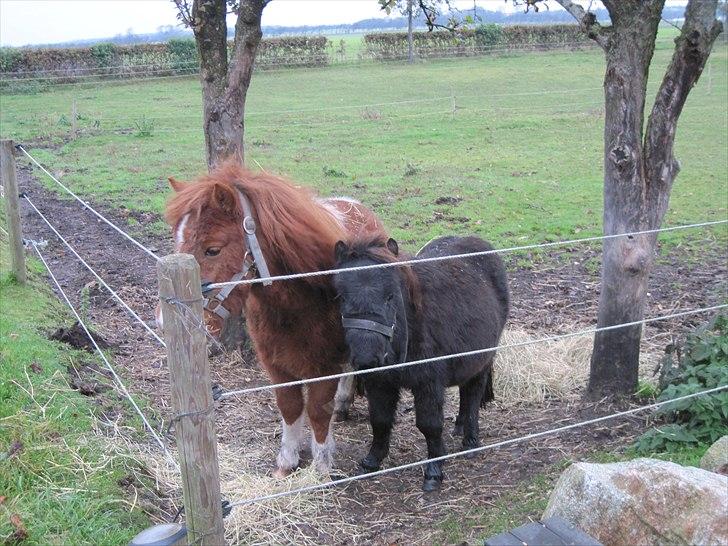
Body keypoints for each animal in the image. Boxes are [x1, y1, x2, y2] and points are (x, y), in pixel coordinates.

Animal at [159, 159, 386, 474]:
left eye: (213, 249)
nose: (161, 320)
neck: (297, 302)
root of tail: (355, 205)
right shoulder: (275, 363)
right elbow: (290, 406)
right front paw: (287, 462)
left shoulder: (324, 365)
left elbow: (318, 410)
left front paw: (322, 464)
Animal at [334, 236, 510, 490]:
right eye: (341, 297)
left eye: (391, 296)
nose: (367, 359)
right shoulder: (379, 383)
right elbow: (380, 421)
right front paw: (371, 461)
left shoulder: (429, 383)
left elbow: (430, 426)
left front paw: (434, 471)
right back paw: (459, 427)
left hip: (482, 361)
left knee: (473, 396)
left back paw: (470, 441)